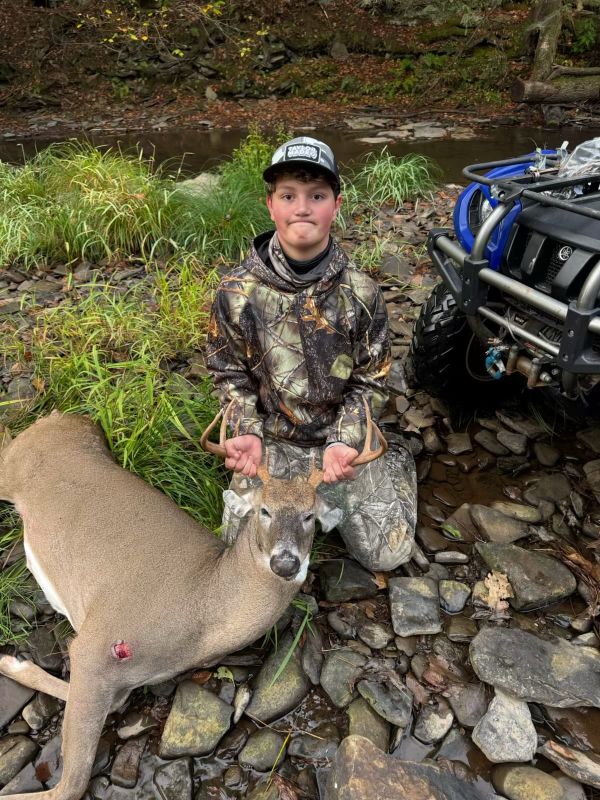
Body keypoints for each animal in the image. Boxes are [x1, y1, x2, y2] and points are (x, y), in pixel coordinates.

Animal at [0, 401, 386, 800]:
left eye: (310, 516)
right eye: (264, 510)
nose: (285, 563)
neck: (202, 610)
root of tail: (62, 416)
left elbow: (115, 705)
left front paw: (11, 661)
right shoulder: (98, 641)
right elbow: (71, 785)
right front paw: (10, 662)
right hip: (10, 468)